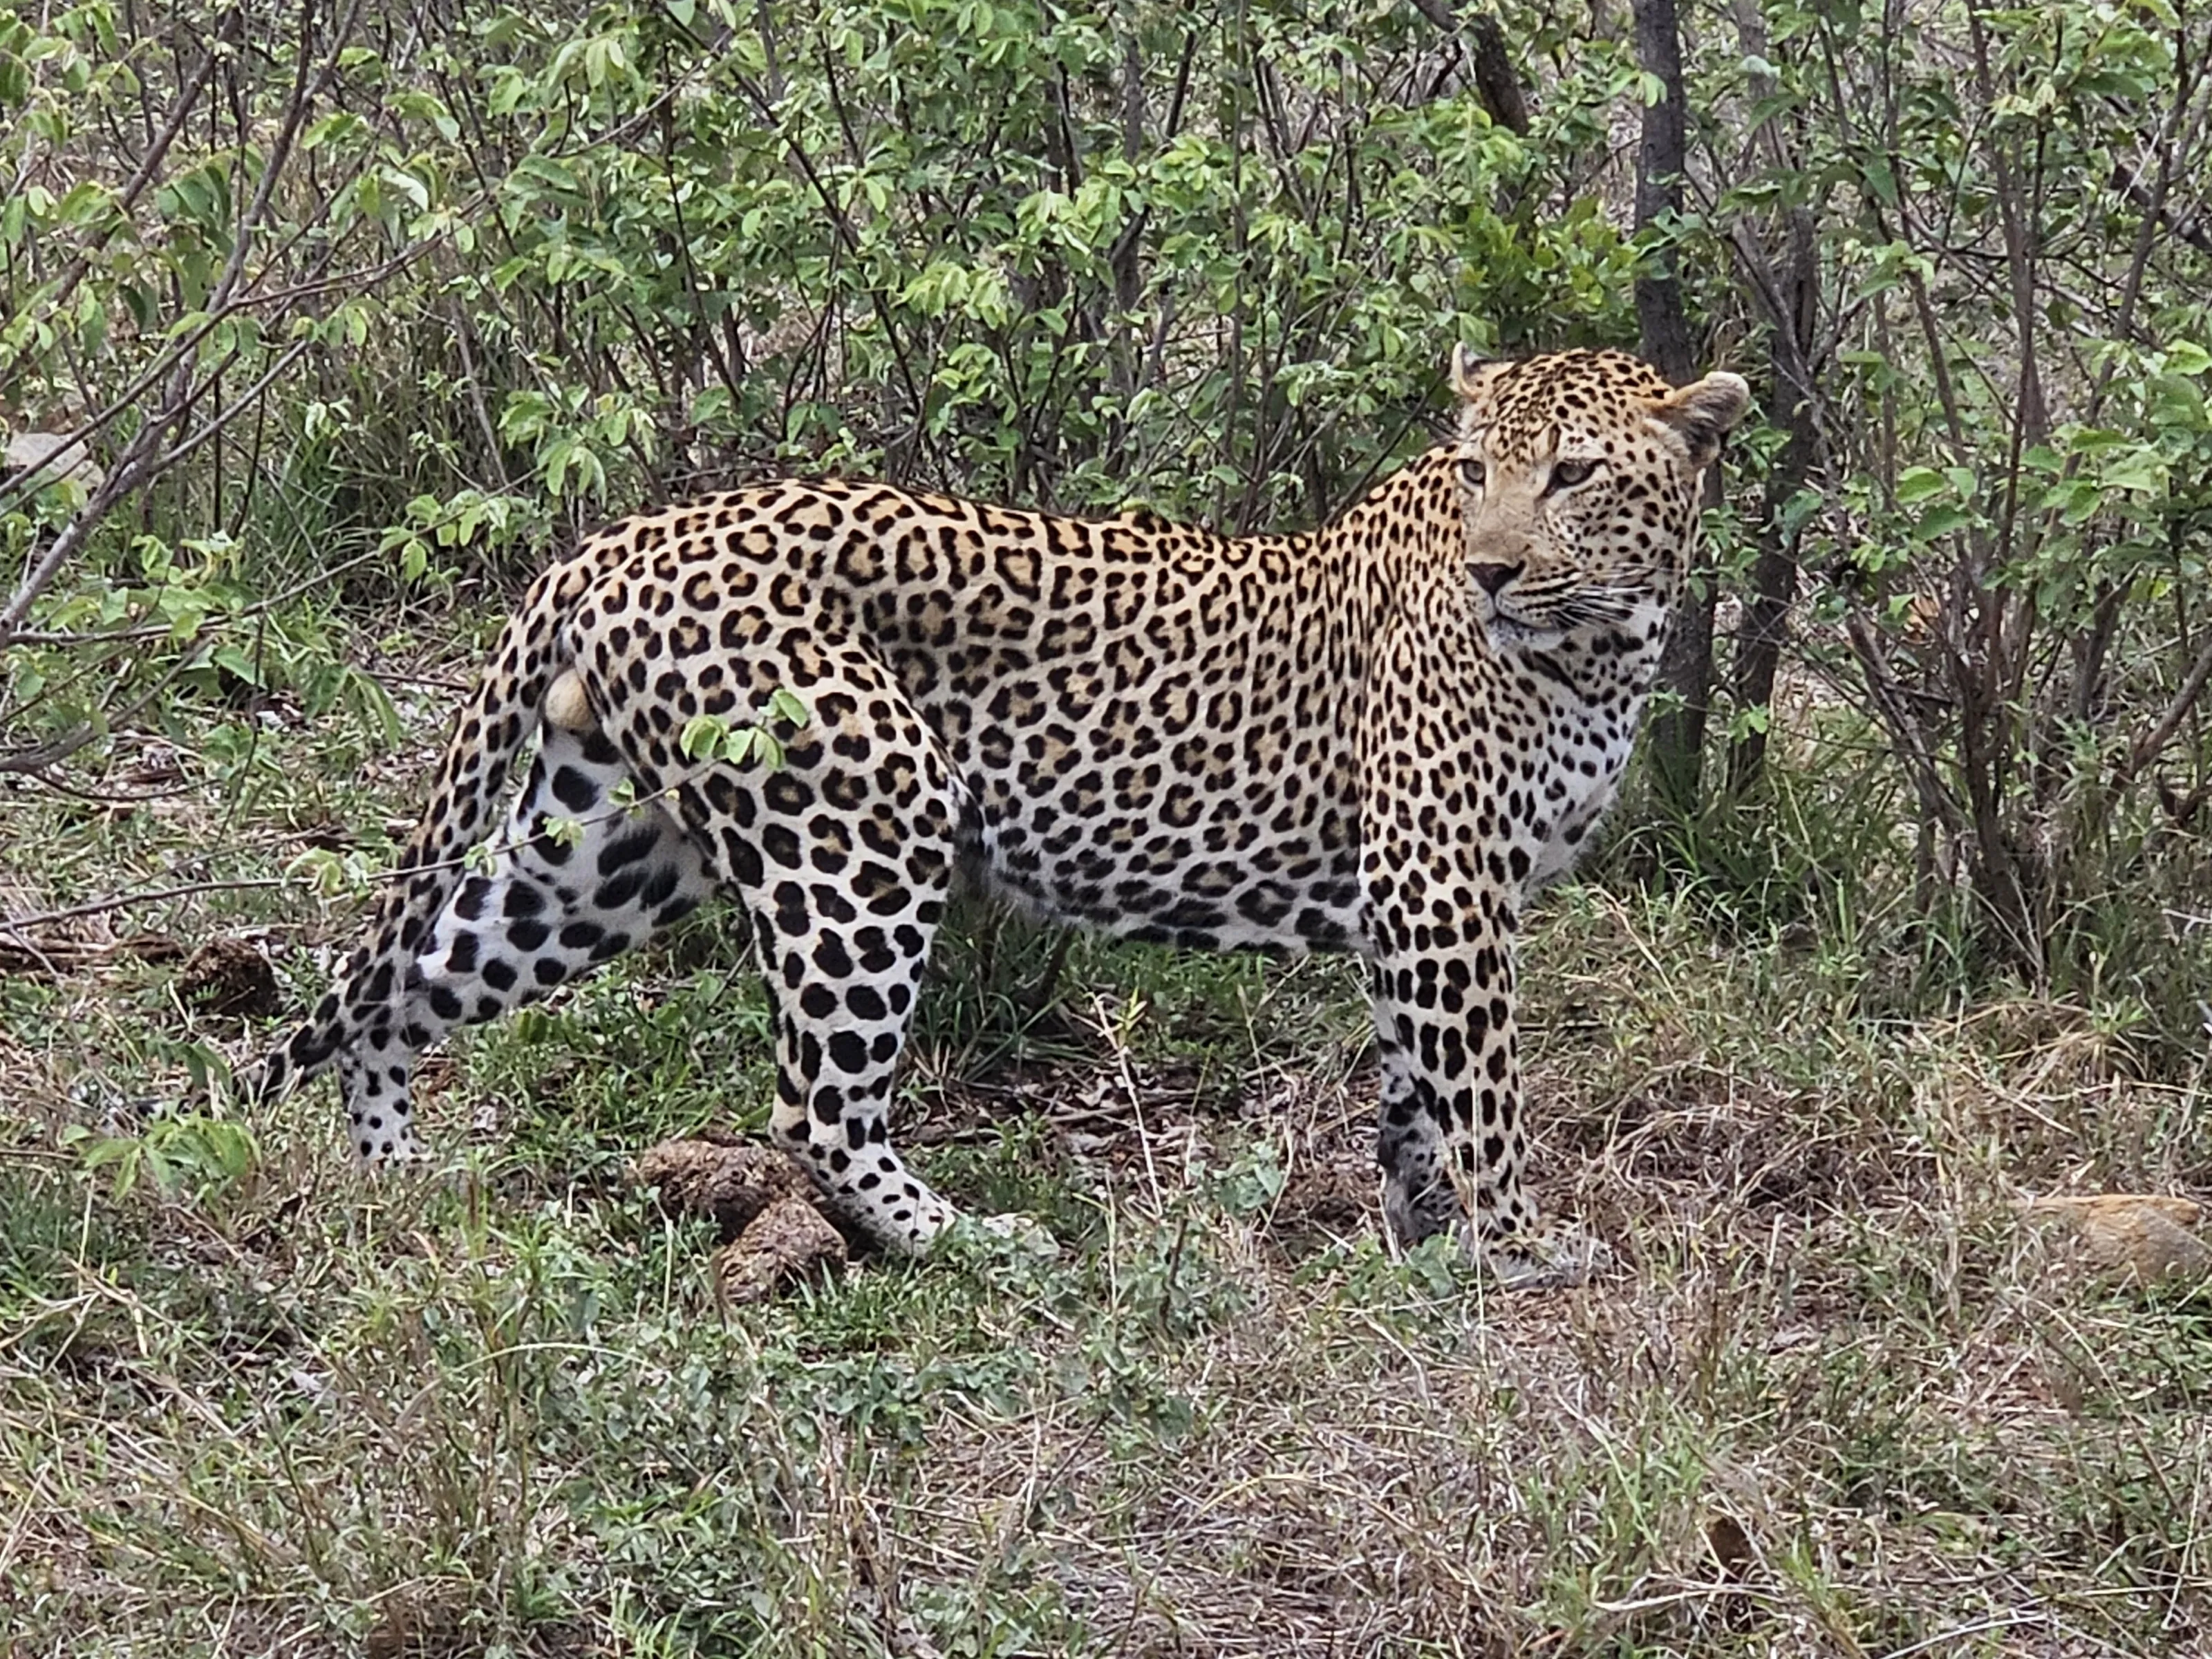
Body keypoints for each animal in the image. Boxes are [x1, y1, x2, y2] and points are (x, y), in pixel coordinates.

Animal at [244, 346, 1749, 1284]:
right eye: (1476, 471)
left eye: (1570, 475)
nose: (1493, 572)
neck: (1603, 645)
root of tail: (618, 540)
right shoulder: (1444, 892)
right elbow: (1482, 1092)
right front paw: (1522, 1248)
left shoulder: (1418, 911)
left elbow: (1415, 1099)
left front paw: (1429, 1244)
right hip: (865, 823)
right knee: (815, 1107)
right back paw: (967, 1242)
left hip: (608, 856)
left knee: (405, 979)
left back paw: (396, 1171)